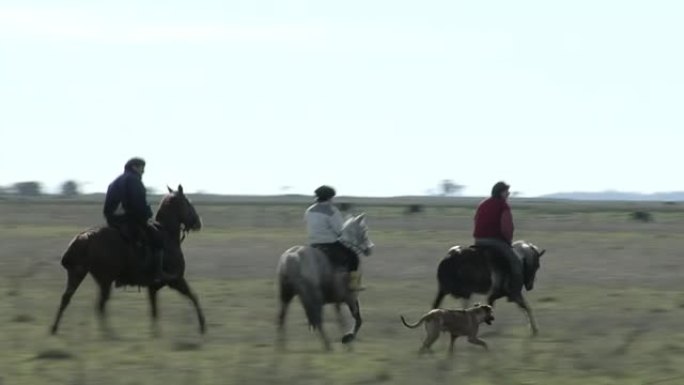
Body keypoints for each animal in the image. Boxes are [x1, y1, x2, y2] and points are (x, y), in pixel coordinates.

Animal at [49, 184, 204, 334]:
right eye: (188, 202)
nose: (198, 222)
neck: (167, 236)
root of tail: (84, 237)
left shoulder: (153, 287)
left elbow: (154, 311)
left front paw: (155, 334)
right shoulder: (176, 280)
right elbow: (194, 297)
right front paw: (202, 326)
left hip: (78, 273)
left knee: (66, 298)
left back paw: (54, 329)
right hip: (104, 280)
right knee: (100, 305)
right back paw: (109, 334)